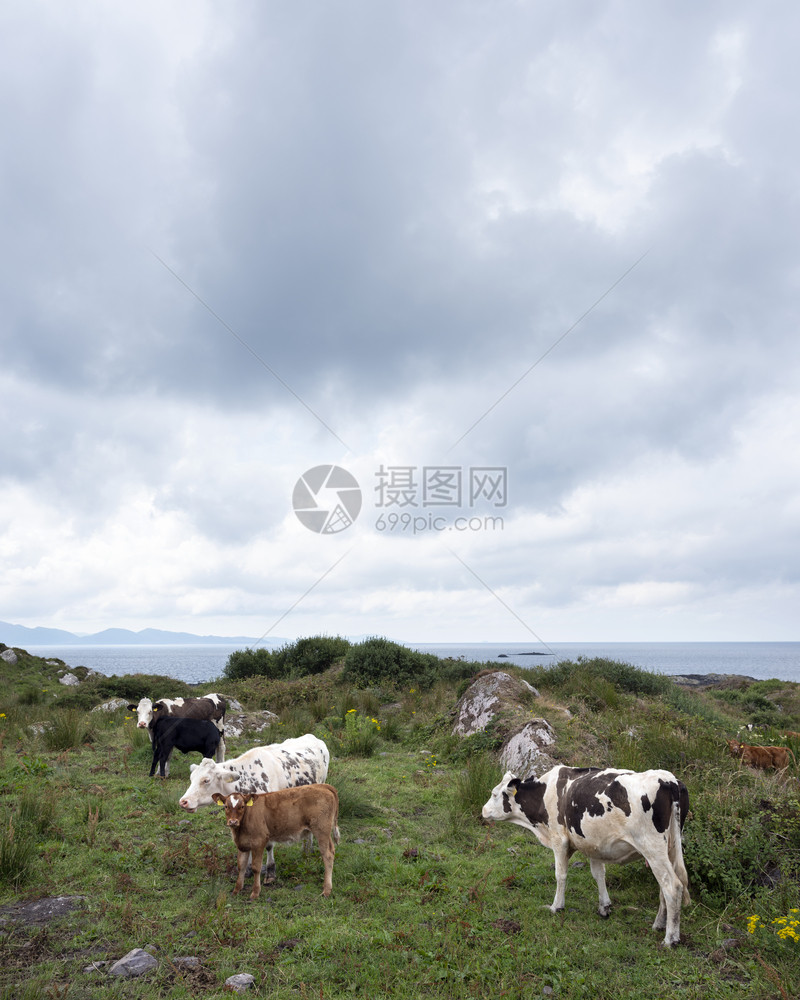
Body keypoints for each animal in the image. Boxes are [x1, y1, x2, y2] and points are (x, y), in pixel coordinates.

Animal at [180, 736, 330, 884]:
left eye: (206, 780)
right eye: (191, 778)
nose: (183, 801)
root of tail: (313, 737)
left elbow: (269, 846)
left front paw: (270, 872)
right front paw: (247, 871)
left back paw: (308, 850)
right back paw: (306, 850)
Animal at [484, 764, 692, 944]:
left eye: (494, 794)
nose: (483, 810)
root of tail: (670, 780)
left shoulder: (559, 839)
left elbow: (560, 875)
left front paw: (556, 906)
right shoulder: (593, 844)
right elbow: (599, 874)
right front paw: (604, 907)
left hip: (652, 848)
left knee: (672, 886)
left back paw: (670, 938)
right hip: (670, 848)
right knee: (666, 886)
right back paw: (659, 924)